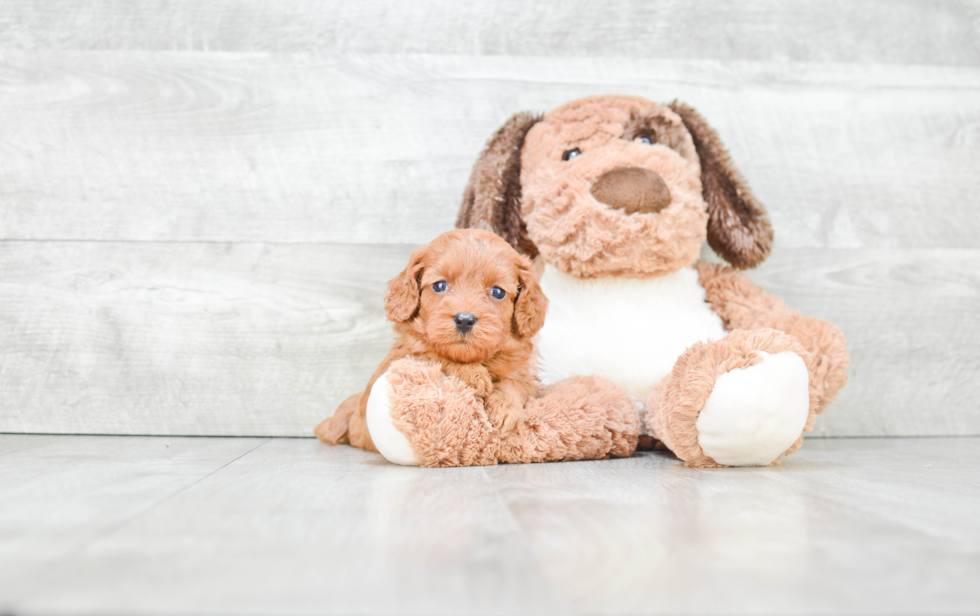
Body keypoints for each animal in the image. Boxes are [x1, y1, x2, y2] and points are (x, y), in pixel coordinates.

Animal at [316, 229, 548, 450]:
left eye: (498, 292)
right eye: (440, 286)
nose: (465, 319)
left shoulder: (527, 378)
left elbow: (515, 384)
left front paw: (505, 407)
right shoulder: (396, 361)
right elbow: (431, 354)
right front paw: (472, 374)